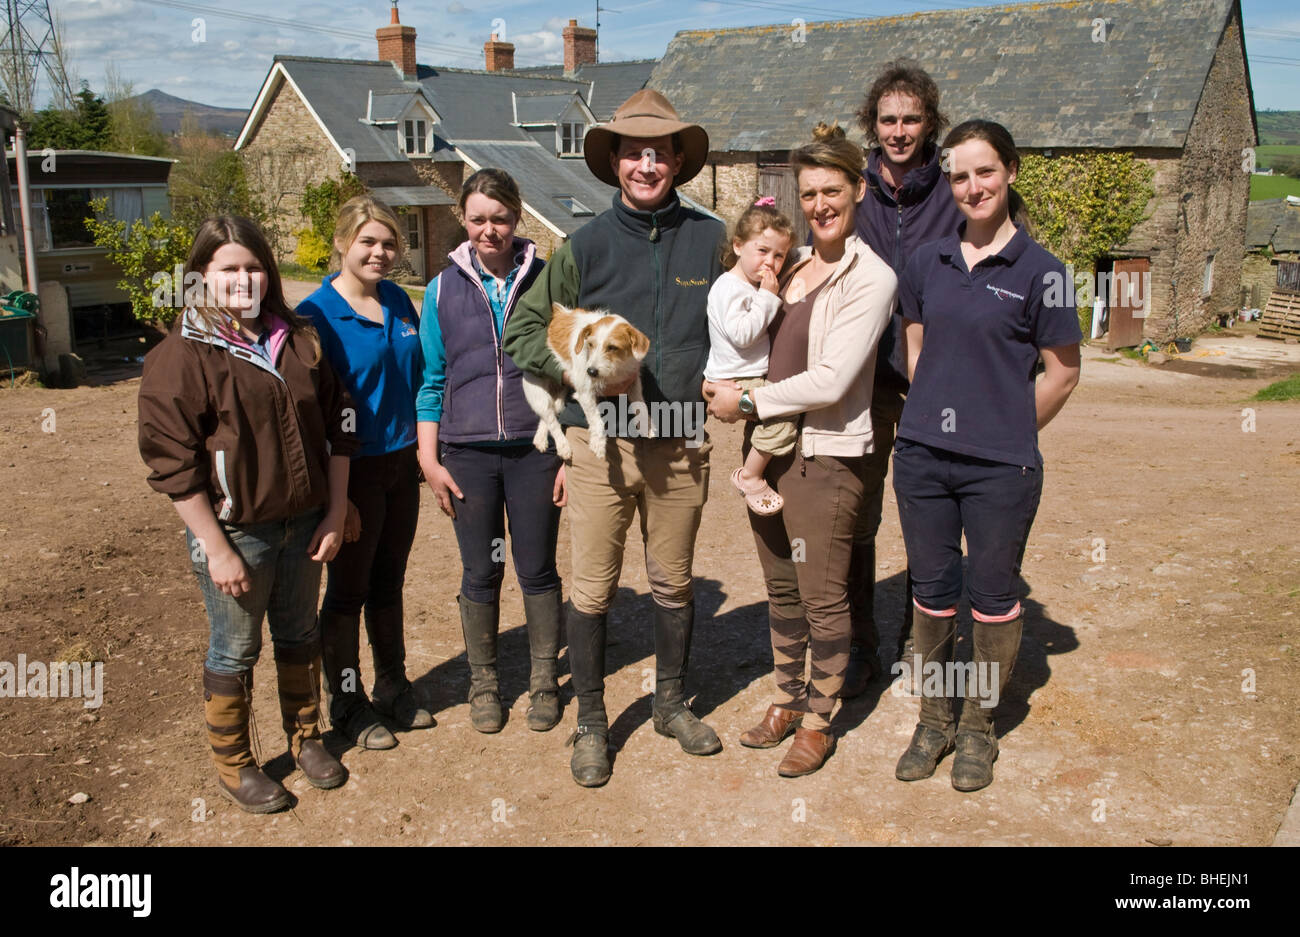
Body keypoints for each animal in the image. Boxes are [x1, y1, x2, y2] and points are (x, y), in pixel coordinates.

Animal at [522, 301, 655, 457]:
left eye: (612, 347)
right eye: (590, 344)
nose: (591, 371)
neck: (616, 369)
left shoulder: (632, 380)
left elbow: (641, 405)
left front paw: (647, 425)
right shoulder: (585, 392)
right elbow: (596, 421)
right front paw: (598, 444)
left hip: (560, 395)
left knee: (551, 412)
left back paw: (540, 438)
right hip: (536, 391)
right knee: (550, 418)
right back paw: (563, 446)